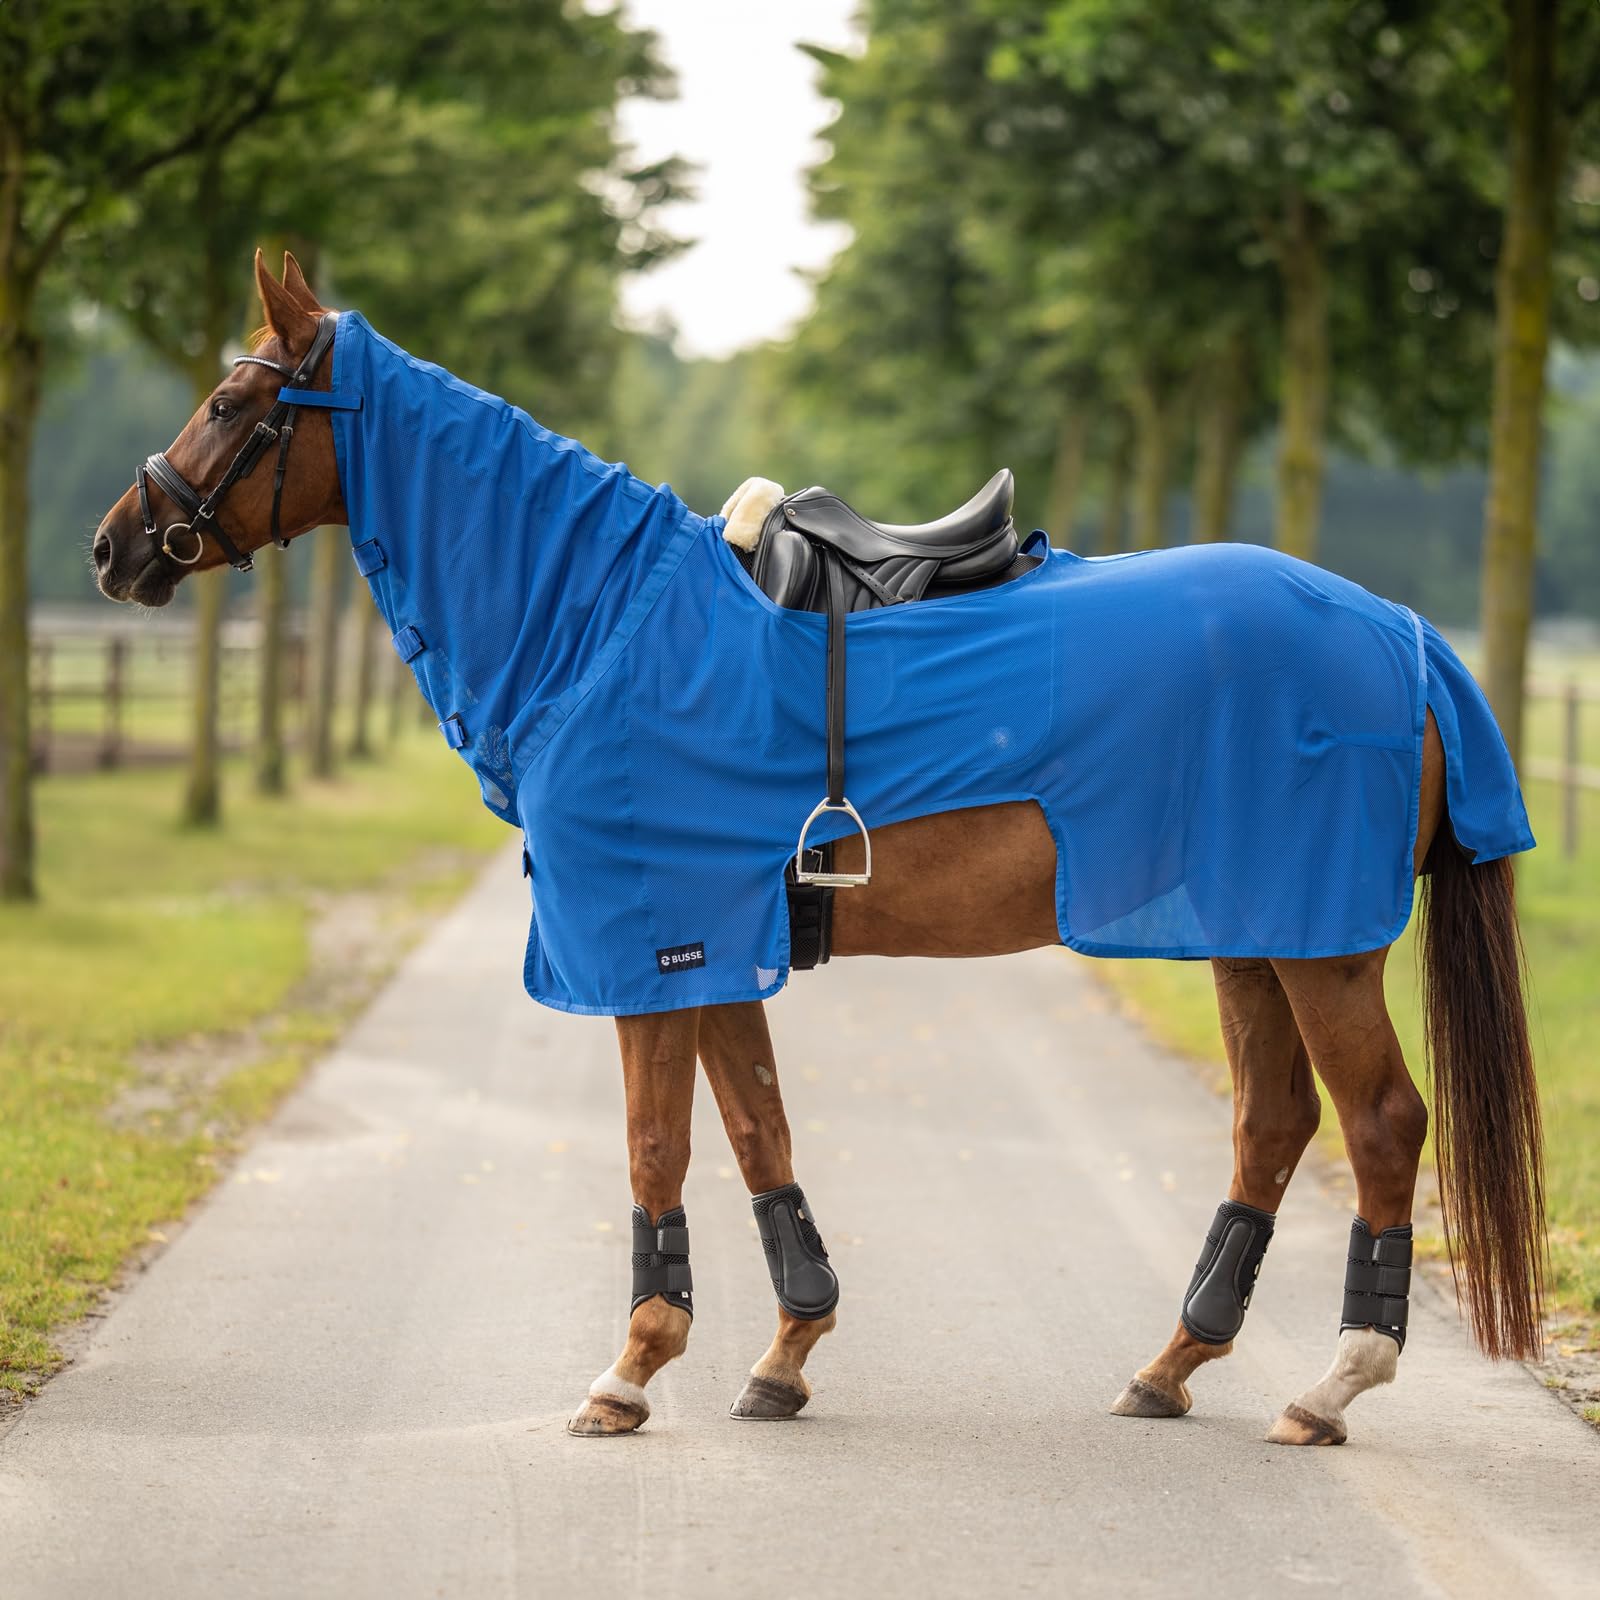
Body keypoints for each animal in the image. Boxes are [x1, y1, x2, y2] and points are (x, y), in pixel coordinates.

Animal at [92, 252, 1544, 1447]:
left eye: (231, 401)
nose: (117, 547)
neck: (604, 622)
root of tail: (1402, 634)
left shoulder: (649, 949)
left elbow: (657, 1151)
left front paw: (629, 1372)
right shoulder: (715, 948)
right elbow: (758, 1136)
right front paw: (785, 1353)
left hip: (1321, 946)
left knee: (1380, 1121)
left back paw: (1331, 1384)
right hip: (1251, 929)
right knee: (1273, 1121)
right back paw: (1172, 1365)